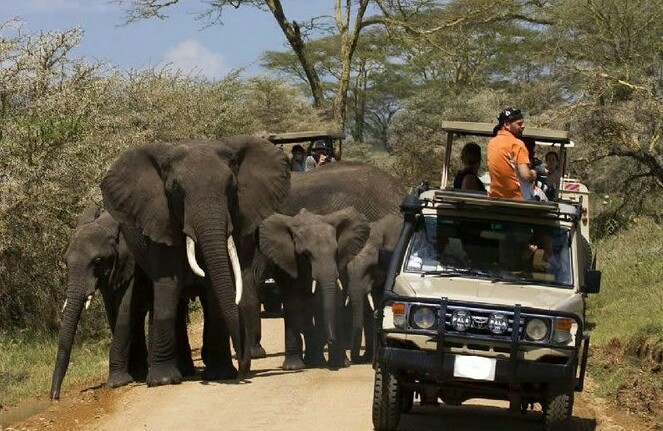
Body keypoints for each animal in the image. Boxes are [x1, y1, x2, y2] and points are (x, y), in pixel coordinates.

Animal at [51, 204, 151, 400]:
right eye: (65, 261)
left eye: (97, 261)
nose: (54, 396)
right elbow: (112, 311)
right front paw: (130, 377)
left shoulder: (133, 263)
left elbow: (126, 309)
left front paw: (118, 383)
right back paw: (141, 372)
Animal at [100, 137, 290, 386]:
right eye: (177, 191)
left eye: (231, 187)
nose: (244, 367)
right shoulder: (162, 220)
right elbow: (167, 286)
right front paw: (163, 381)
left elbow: (214, 290)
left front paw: (221, 374)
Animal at [260, 208, 370, 370]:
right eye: (305, 255)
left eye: (336, 252)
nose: (330, 339)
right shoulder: (289, 261)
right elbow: (293, 301)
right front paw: (294, 367)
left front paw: (317, 361)